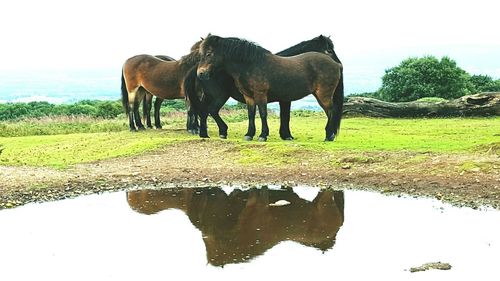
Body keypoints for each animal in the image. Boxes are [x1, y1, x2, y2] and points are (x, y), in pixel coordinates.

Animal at [184, 35, 344, 140]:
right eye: (203, 53)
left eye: (209, 53)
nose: (201, 73)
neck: (251, 64)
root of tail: (335, 64)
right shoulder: (249, 97)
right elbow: (251, 114)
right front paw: (250, 134)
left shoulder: (261, 95)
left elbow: (263, 113)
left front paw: (263, 135)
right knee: (205, 111)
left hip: (323, 95)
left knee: (331, 110)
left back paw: (329, 136)